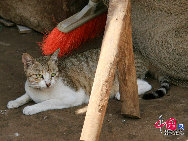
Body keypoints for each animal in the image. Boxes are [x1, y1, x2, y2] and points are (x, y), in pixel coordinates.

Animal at [6, 48, 166, 114]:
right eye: (39, 75)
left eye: (53, 74)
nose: (48, 83)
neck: (41, 91)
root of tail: (143, 56)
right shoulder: (30, 88)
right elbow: (26, 94)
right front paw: (15, 102)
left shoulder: (73, 96)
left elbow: (48, 102)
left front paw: (31, 108)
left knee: (144, 84)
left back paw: (120, 94)